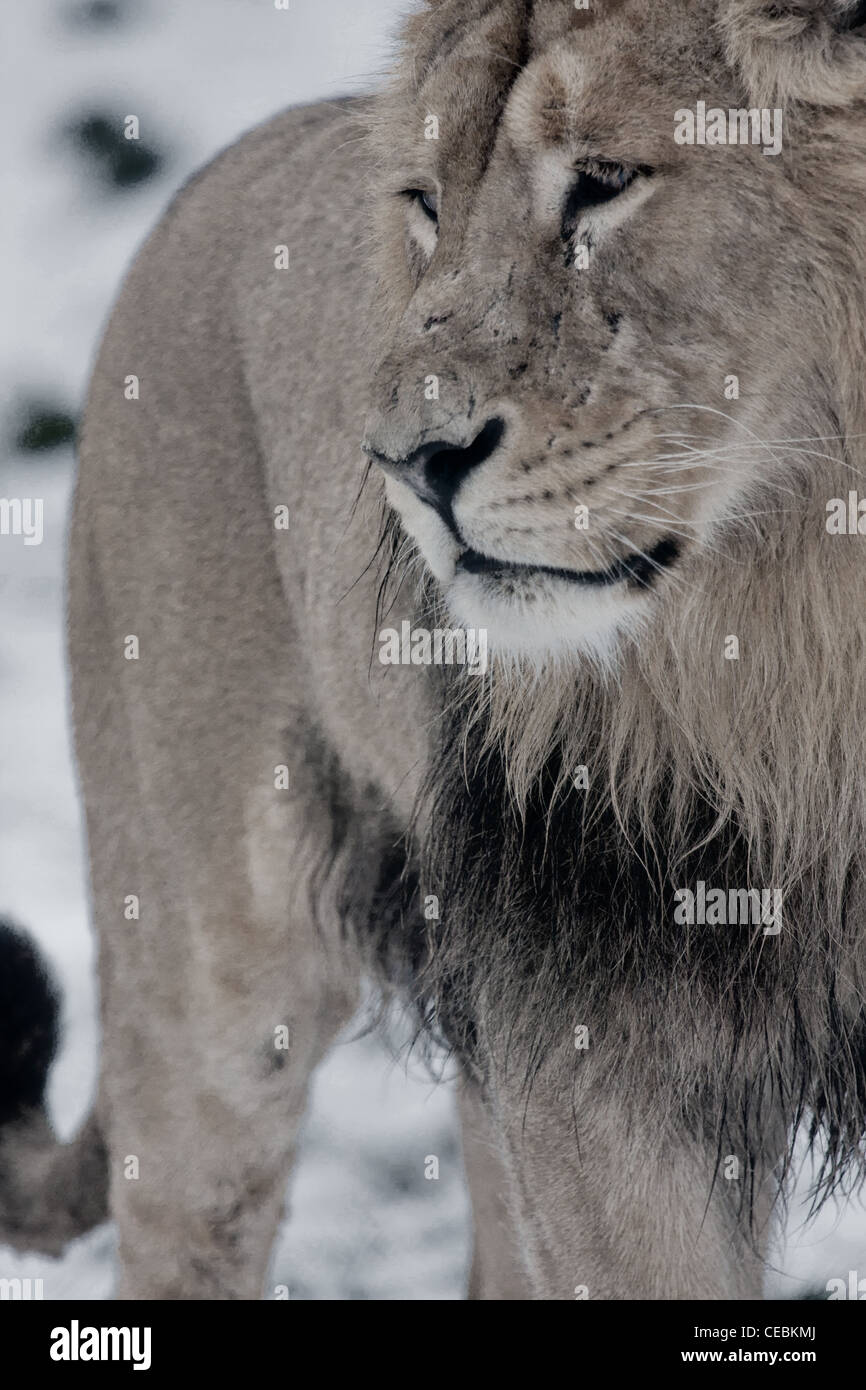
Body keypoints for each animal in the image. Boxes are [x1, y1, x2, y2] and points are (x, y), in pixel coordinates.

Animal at [2, 0, 866, 1300]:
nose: (404, 464)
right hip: (209, 973)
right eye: (423, 203)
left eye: (602, 182)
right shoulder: (597, 1024)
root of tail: (213, 173)